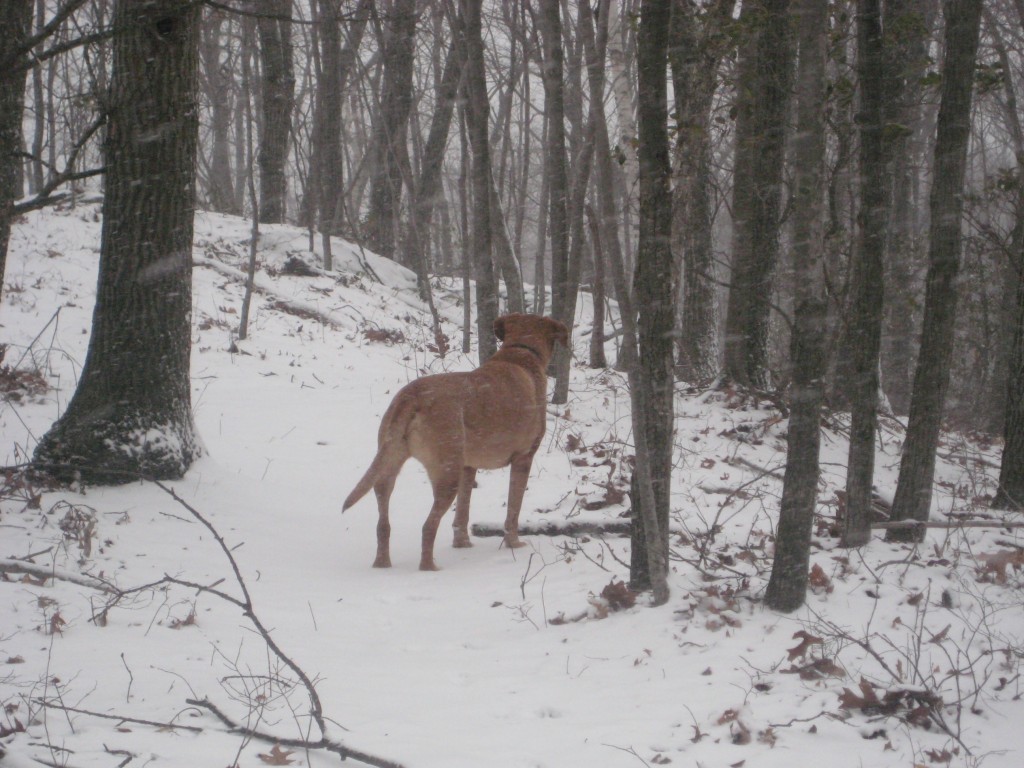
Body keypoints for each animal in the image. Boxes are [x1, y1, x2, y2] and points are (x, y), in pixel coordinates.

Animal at [342, 313, 569, 573]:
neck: (521, 351)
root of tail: (412, 396)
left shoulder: (468, 467)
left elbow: (462, 511)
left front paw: (462, 544)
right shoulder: (523, 458)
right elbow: (513, 510)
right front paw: (514, 544)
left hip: (388, 465)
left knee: (383, 522)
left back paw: (382, 563)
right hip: (446, 474)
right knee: (428, 526)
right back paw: (429, 567)